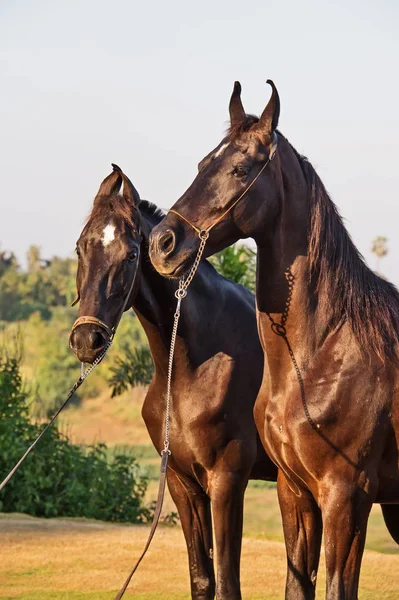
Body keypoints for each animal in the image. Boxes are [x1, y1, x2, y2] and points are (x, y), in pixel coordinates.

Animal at [69, 165, 278, 600]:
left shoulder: (227, 480)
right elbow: (202, 579)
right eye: (81, 249)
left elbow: (227, 583)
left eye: (131, 254)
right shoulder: (185, 485)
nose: (86, 340)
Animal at [149, 81, 399, 600]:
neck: (324, 354)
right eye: (202, 163)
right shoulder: (295, 492)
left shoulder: (346, 495)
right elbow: (295, 585)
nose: (163, 243)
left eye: (240, 168)